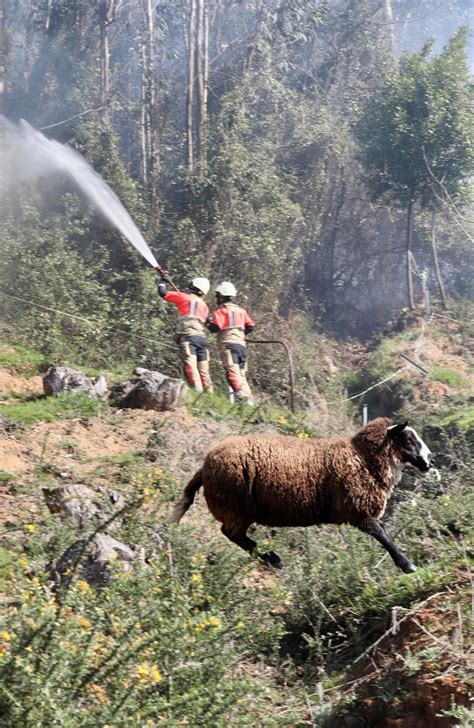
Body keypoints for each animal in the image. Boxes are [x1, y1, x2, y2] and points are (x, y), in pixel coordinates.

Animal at [171, 418, 436, 572]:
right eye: (409, 438)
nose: (431, 460)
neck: (363, 459)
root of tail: (204, 468)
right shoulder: (357, 510)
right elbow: (382, 534)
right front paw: (407, 565)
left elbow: (382, 533)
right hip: (235, 506)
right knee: (232, 534)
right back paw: (273, 559)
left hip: (237, 508)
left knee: (235, 535)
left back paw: (270, 559)